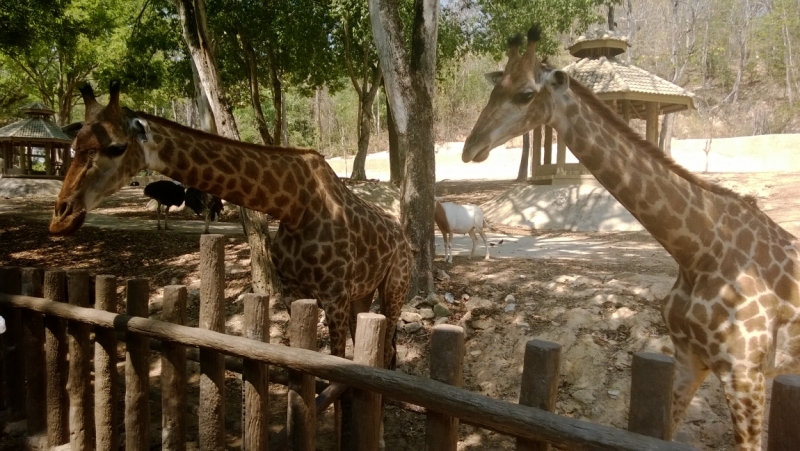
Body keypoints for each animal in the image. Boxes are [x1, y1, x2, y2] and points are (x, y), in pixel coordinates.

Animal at [48, 82, 412, 370]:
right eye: (74, 147)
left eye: (116, 147)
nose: (61, 217)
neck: (295, 207)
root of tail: (403, 237)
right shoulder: (297, 292)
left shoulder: (334, 294)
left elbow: (337, 363)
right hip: (362, 292)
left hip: (394, 285)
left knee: (389, 345)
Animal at [460, 26, 800, 450]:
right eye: (494, 89)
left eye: (525, 93)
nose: (470, 148)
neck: (698, 250)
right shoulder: (689, 358)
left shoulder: (745, 373)